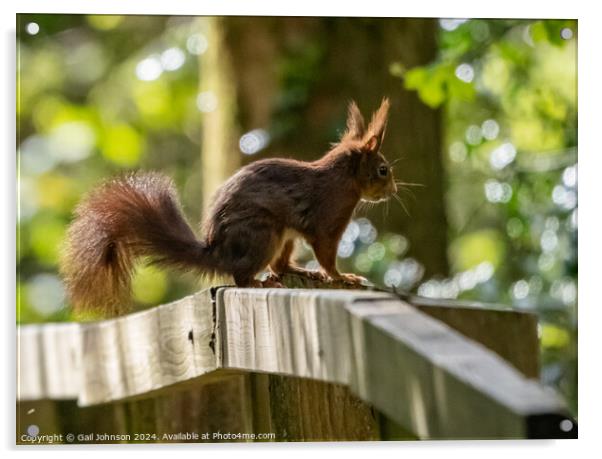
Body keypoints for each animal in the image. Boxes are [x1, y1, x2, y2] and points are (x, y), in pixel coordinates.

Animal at [61, 99, 396, 316]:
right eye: (383, 170)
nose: (393, 191)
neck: (342, 180)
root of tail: (219, 251)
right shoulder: (327, 223)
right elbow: (327, 255)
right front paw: (342, 277)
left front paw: (332, 276)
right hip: (263, 233)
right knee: (242, 276)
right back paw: (259, 282)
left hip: (282, 237)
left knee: (279, 265)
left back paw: (298, 271)